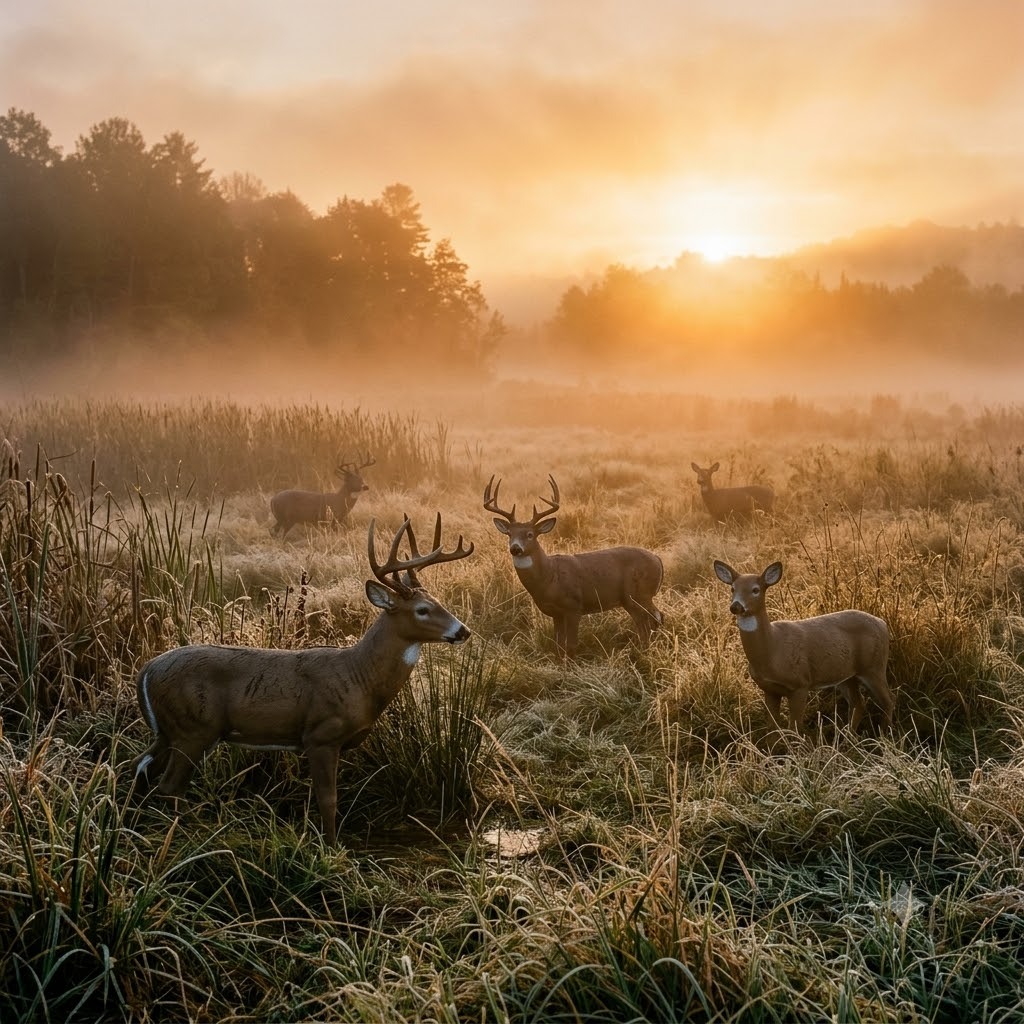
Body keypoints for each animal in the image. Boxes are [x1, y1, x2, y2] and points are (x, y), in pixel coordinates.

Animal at [131, 513, 473, 846]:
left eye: (439, 601)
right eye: (422, 609)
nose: (463, 631)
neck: (359, 677)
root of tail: (146, 670)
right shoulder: (320, 734)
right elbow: (328, 800)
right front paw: (332, 850)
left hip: (169, 730)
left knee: (141, 767)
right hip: (194, 728)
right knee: (169, 785)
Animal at [484, 474, 664, 661]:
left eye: (530, 534)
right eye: (509, 534)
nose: (515, 548)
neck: (549, 577)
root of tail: (658, 559)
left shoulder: (574, 606)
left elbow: (571, 645)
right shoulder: (556, 613)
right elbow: (558, 646)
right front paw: (559, 663)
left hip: (640, 594)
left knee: (653, 619)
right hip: (631, 599)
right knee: (647, 622)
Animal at [713, 559, 893, 738]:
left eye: (755, 589)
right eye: (732, 588)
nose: (736, 606)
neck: (772, 650)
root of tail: (882, 624)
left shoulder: (800, 683)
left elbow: (795, 729)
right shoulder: (769, 689)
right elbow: (771, 729)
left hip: (874, 666)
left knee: (888, 701)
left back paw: (883, 736)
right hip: (846, 675)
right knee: (858, 704)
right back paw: (847, 739)